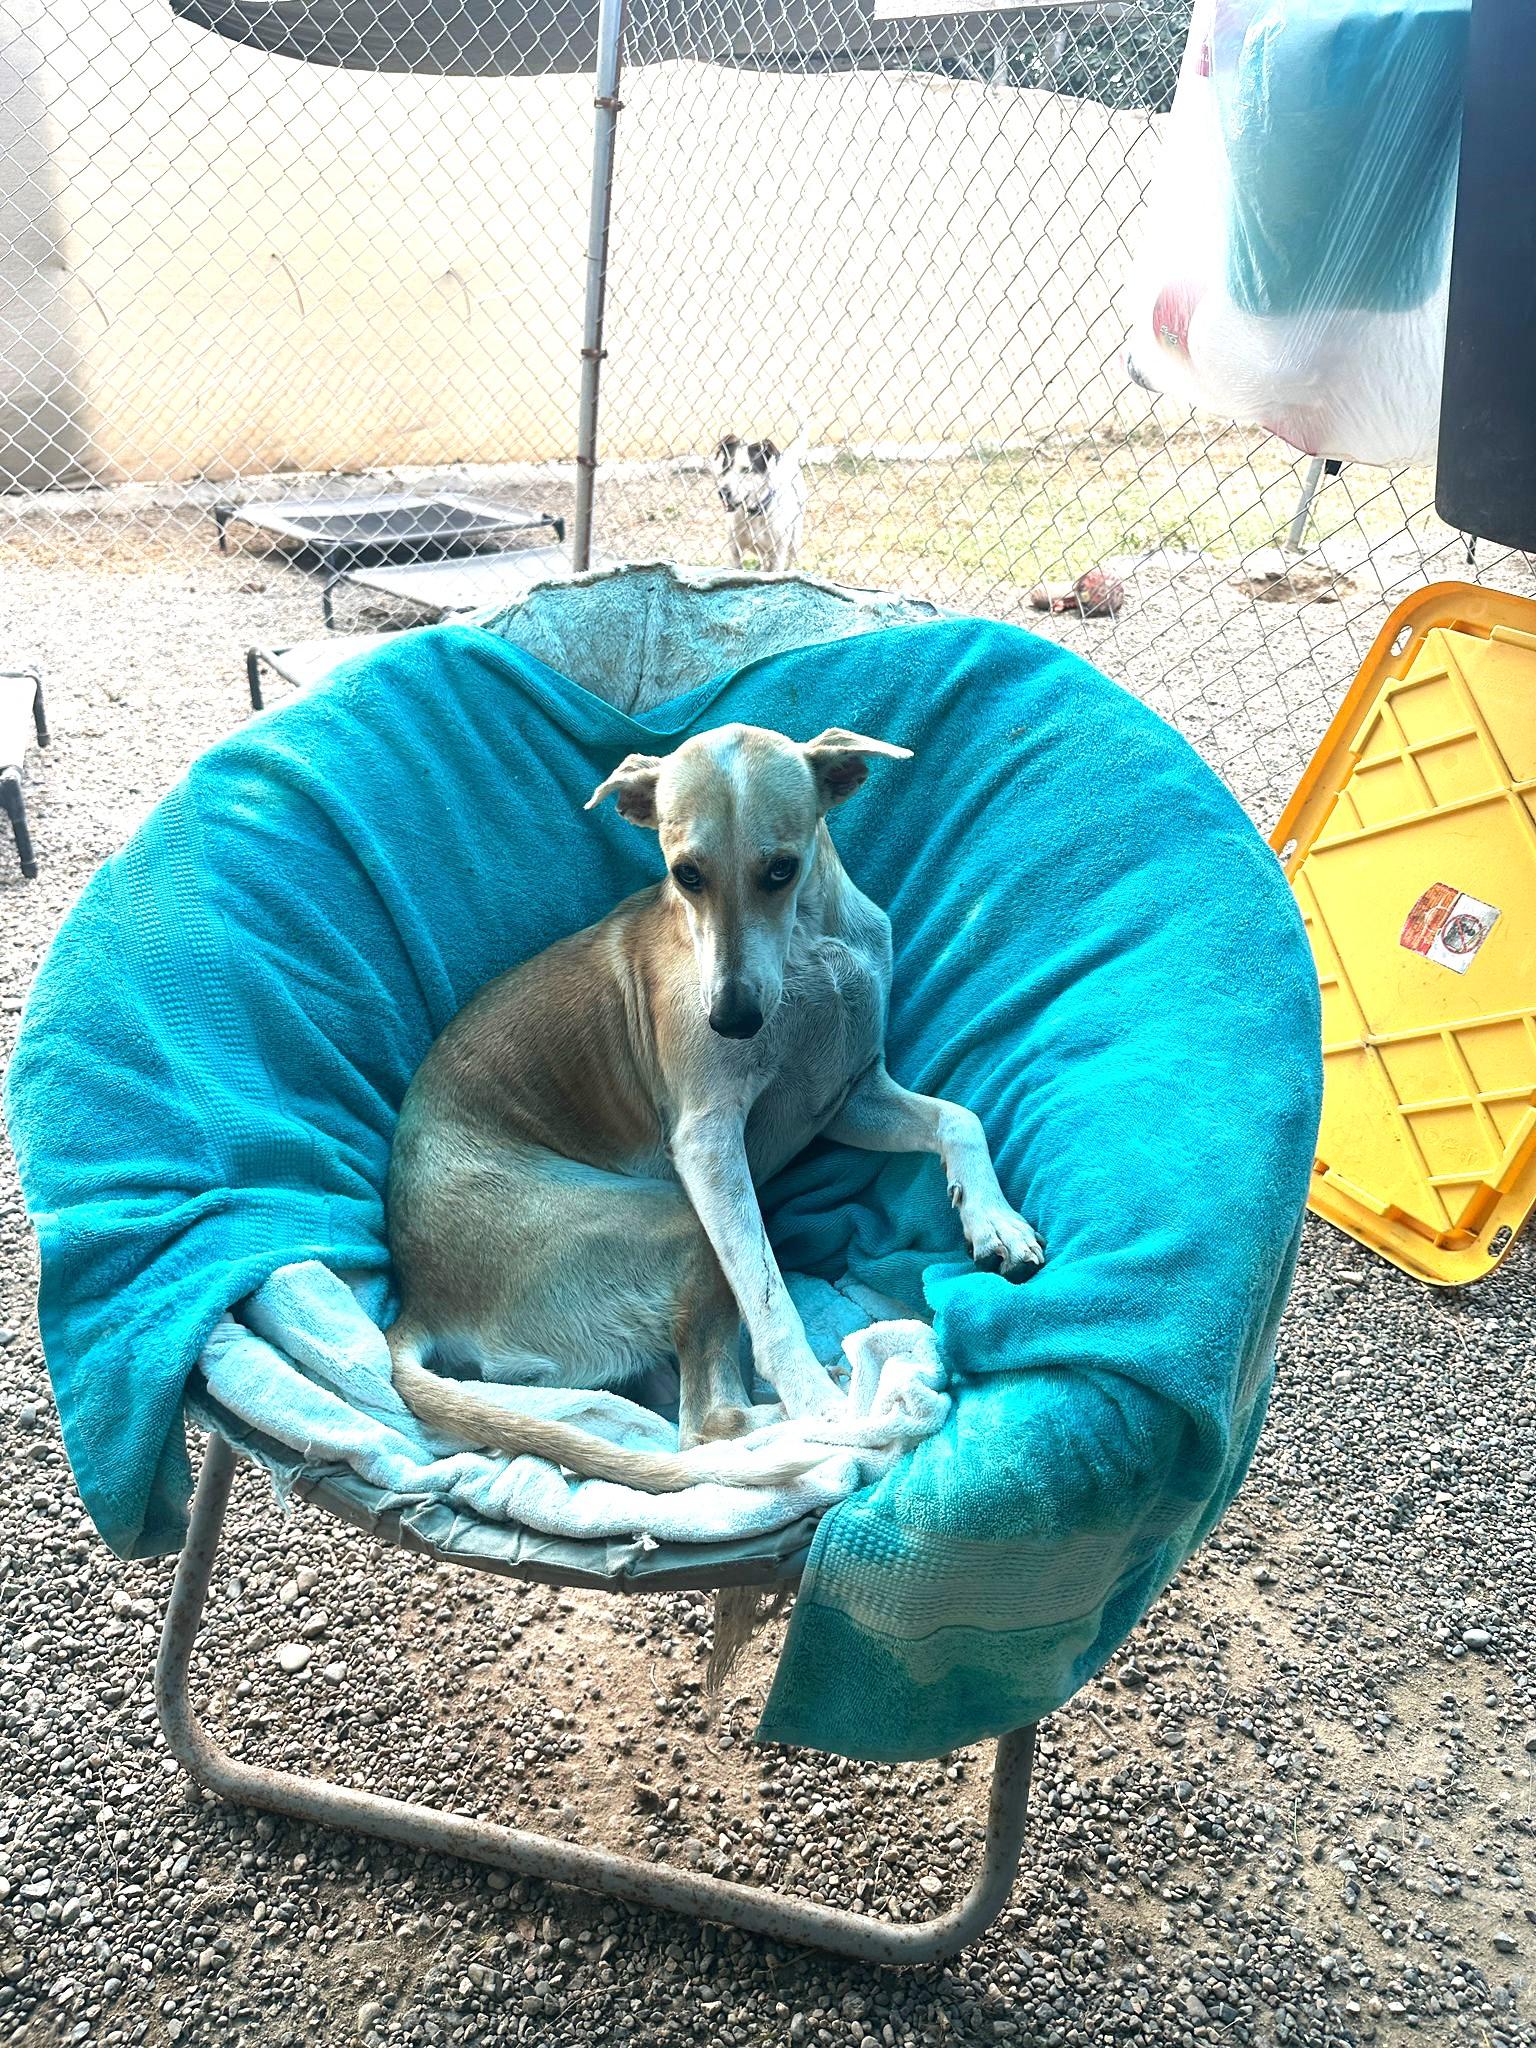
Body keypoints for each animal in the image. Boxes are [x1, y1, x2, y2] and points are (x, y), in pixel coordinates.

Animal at [385, 723, 1043, 1497]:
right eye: (685, 874)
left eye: (782, 869)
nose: (730, 1019)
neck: (807, 946)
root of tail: (417, 1299)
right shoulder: (709, 1144)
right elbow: (768, 1294)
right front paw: (820, 1407)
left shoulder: (848, 1097)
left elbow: (957, 1118)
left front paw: (994, 1220)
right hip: (681, 1223)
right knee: (704, 1427)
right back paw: (819, 1417)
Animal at [712, 430, 808, 572]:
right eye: (726, 466)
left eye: (746, 469)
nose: (723, 493)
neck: (754, 514)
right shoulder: (734, 551)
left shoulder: (778, 555)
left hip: (794, 540)